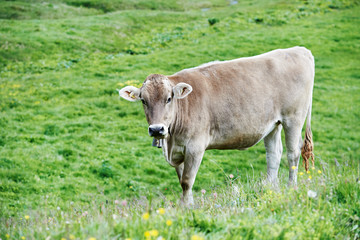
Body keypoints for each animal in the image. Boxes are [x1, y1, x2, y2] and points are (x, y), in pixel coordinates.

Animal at [119, 46, 314, 204]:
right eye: (143, 100)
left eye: (168, 98)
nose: (156, 129)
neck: (171, 140)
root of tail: (300, 50)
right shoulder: (178, 151)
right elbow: (182, 180)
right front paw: (187, 205)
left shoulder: (195, 147)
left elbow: (187, 181)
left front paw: (187, 207)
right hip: (273, 123)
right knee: (273, 155)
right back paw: (270, 190)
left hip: (293, 117)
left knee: (293, 153)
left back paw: (291, 187)